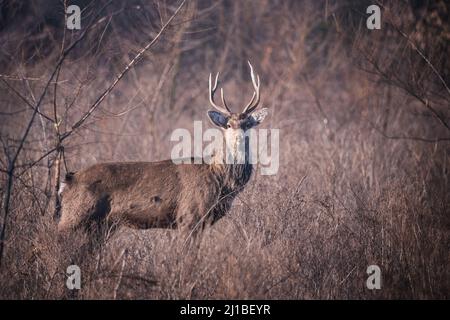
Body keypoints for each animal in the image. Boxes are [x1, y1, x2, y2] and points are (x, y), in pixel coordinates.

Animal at [56, 61, 268, 244]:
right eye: (228, 125)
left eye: (247, 124)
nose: (239, 137)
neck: (219, 179)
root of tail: (68, 180)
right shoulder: (188, 215)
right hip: (75, 214)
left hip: (102, 224)